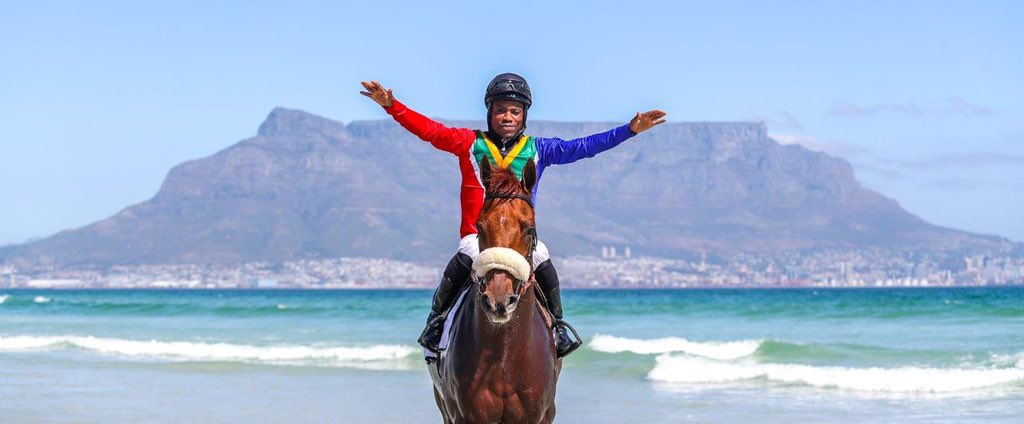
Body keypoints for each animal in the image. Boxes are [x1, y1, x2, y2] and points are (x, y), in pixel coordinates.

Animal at [428, 159, 561, 424]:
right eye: (480, 227)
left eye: (529, 228)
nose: (499, 300)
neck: (504, 354)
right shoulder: (464, 415)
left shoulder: (541, 415)